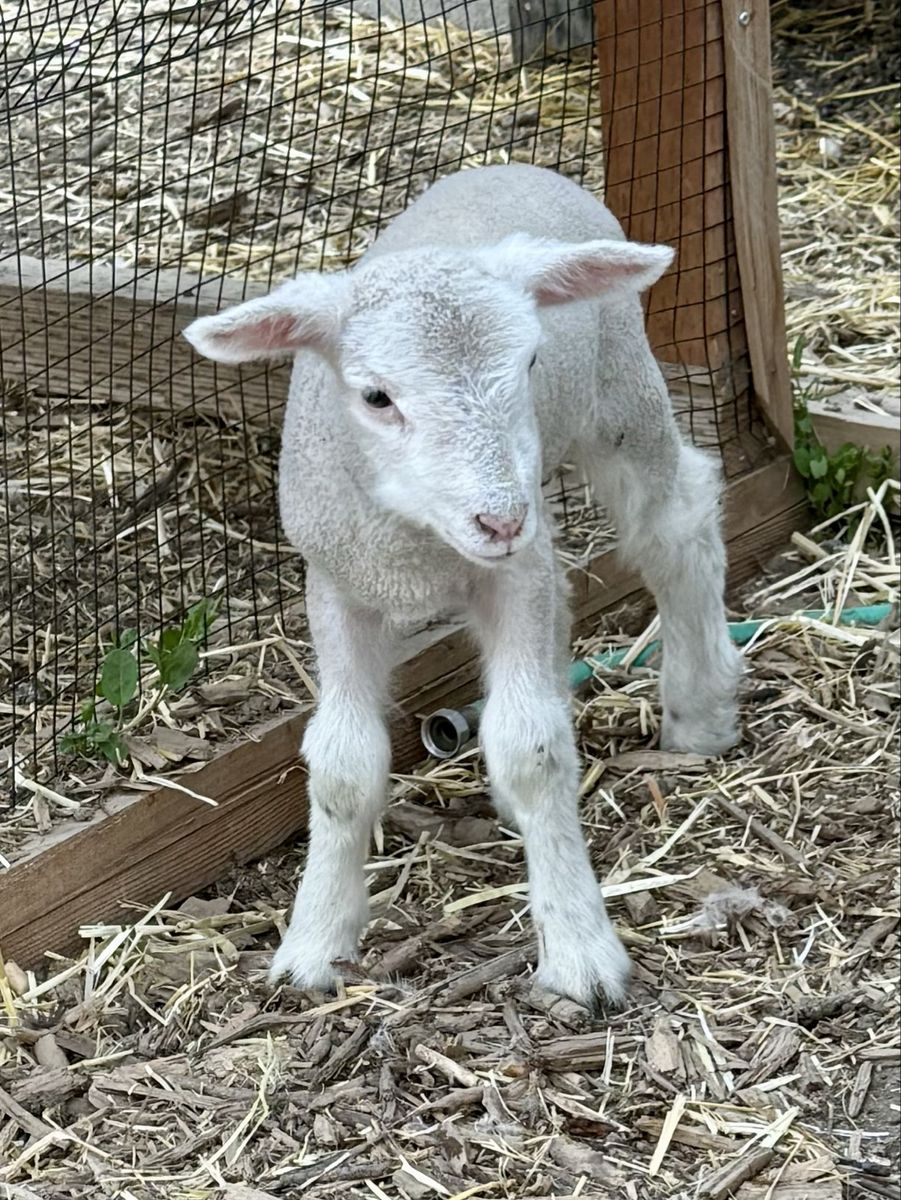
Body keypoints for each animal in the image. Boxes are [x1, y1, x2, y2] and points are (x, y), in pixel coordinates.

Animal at [183, 162, 743, 1009]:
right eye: (375, 396)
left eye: (531, 364)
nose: (499, 518)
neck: (418, 542)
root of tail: (511, 167)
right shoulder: (338, 584)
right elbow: (342, 764)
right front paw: (314, 944)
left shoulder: (511, 571)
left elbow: (531, 746)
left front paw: (579, 953)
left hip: (620, 392)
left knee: (675, 523)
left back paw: (701, 709)